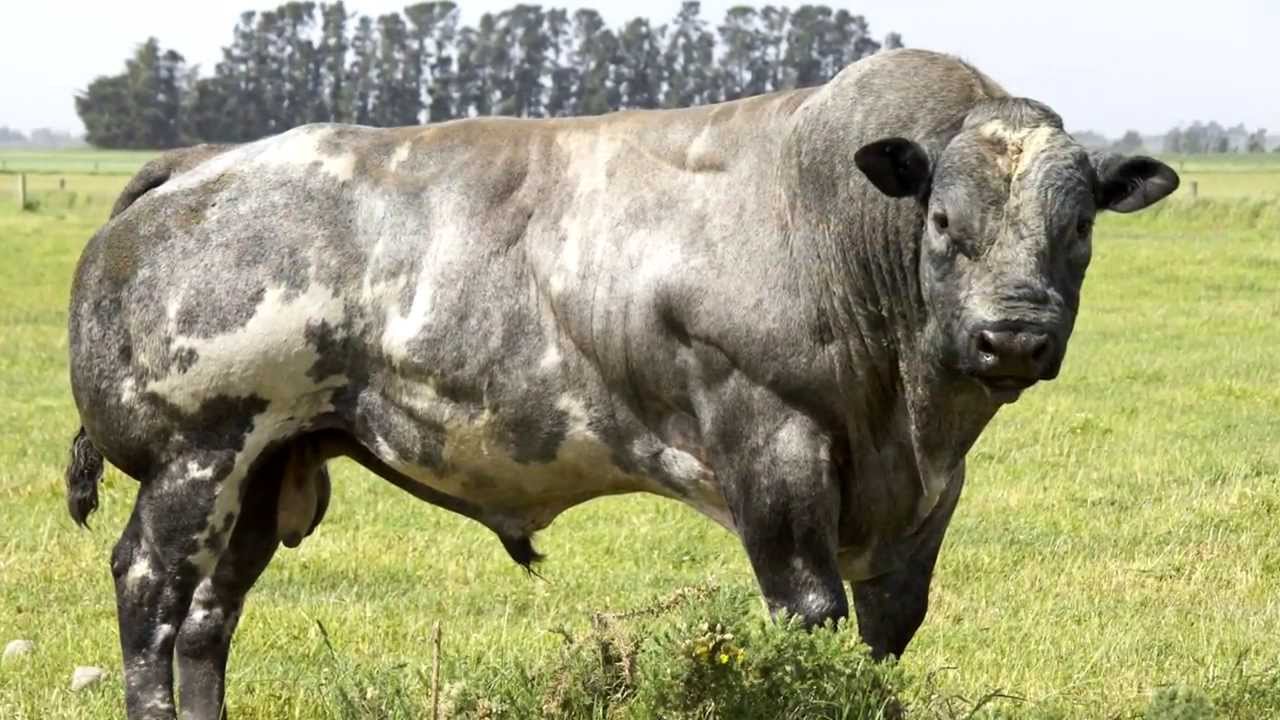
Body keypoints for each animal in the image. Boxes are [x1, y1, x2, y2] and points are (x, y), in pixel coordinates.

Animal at [65, 49, 1177, 719]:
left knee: (208, 618)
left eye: (1078, 227)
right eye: (944, 222)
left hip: (263, 468)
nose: (1013, 337)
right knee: (149, 589)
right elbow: (808, 613)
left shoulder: (921, 501)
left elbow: (886, 627)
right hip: (196, 453)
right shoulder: (770, 447)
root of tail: (196, 162)